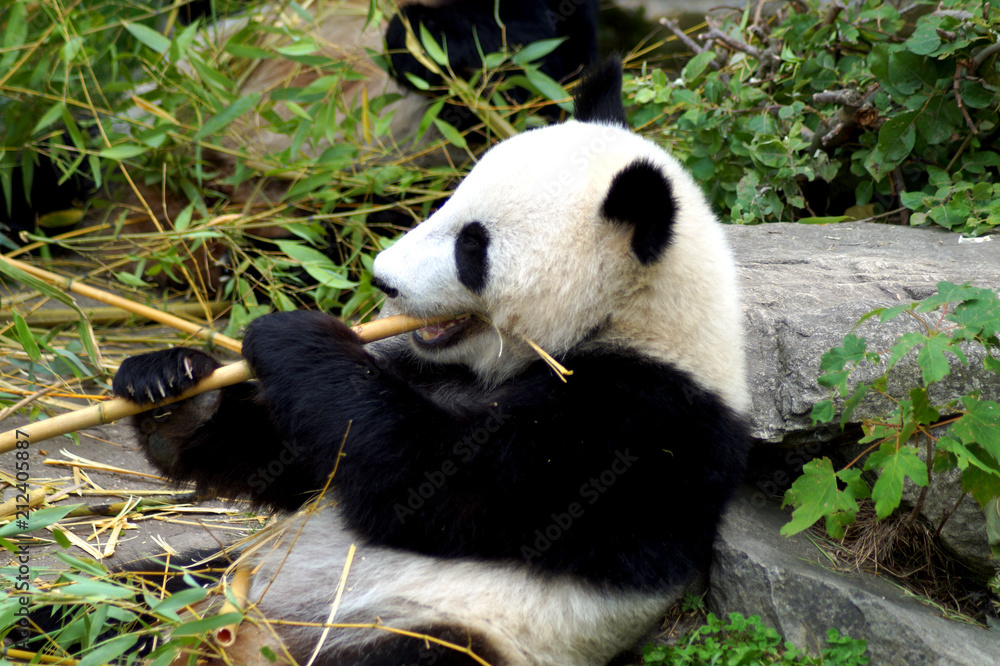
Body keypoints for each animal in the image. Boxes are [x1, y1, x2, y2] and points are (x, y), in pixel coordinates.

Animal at [111, 57, 752, 664]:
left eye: (472, 246)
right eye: (448, 200)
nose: (382, 280)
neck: (632, 317)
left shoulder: (636, 423)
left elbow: (427, 480)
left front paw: (293, 336)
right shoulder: (434, 368)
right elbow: (298, 461)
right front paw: (171, 384)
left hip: (446, 630)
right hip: (221, 572)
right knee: (141, 586)